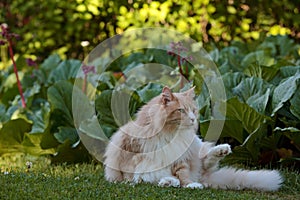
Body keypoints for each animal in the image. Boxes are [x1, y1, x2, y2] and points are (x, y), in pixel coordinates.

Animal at [103, 86, 284, 191]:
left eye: (194, 111)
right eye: (181, 110)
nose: (192, 119)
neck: (168, 134)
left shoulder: (180, 157)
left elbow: (183, 175)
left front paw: (189, 185)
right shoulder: (130, 153)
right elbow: (137, 174)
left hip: (196, 148)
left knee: (206, 162)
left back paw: (222, 150)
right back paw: (168, 182)